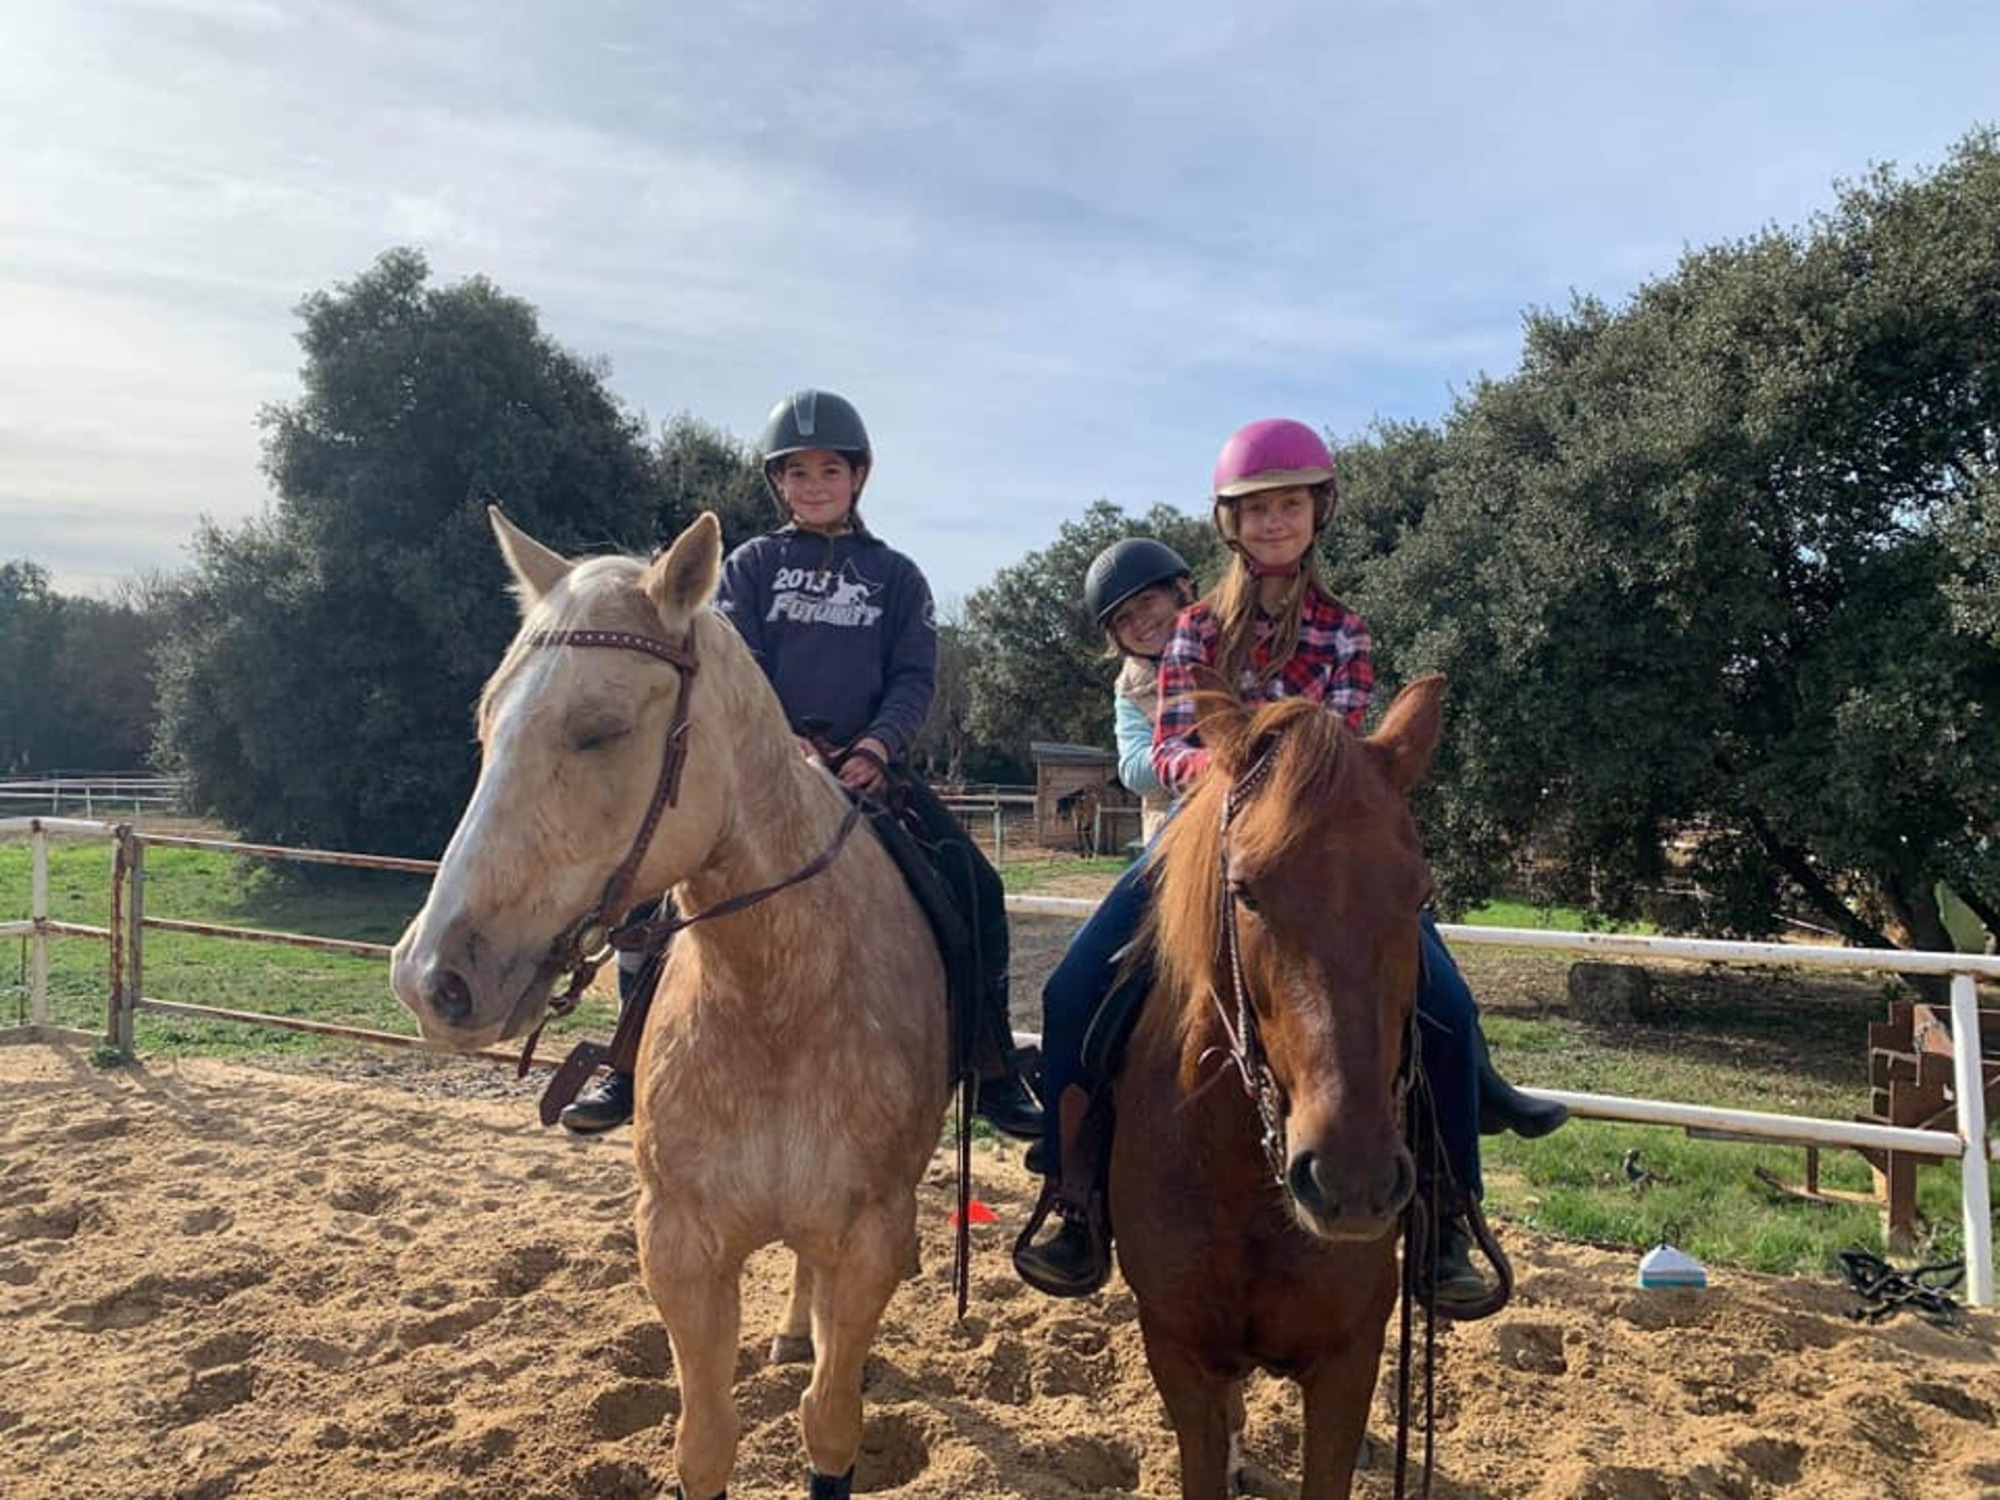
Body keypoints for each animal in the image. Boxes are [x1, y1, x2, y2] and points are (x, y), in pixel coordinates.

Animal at [394, 512, 956, 1496]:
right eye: (488, 722)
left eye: (601, 729)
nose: (431, 977)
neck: (776, 1002)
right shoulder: (681, 1246)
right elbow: (705, 1438)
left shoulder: (868, 1240)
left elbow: (830, 1424)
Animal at [1120, 680, 1448, 1500]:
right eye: (1243, 890)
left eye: (1419, 893)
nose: (1351, 1181)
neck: (1244, 1177)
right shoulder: (1180, 1356)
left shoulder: (1347, 1364)